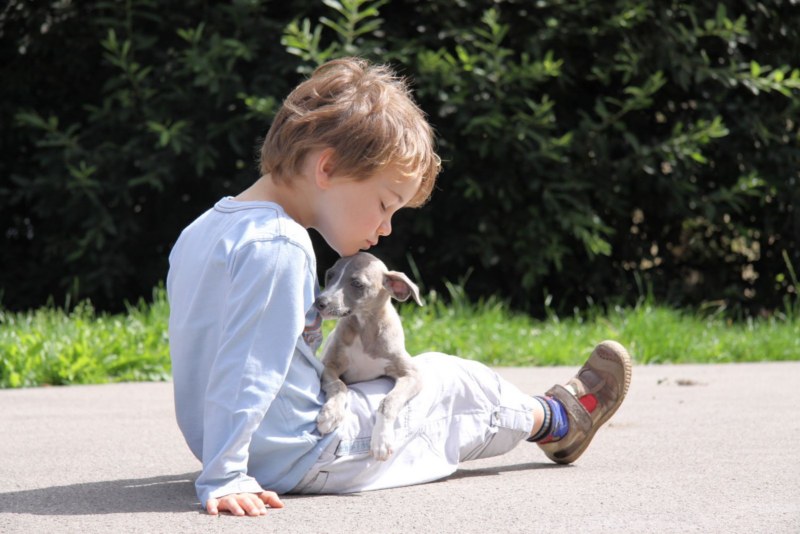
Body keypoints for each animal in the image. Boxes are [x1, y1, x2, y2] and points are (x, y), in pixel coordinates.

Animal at [313, 252, 423, 460]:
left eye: (357, 283)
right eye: (330, 275)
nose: (319, 302)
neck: (363, 328)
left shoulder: (412, 374)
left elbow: (389, 401)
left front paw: (381, 439)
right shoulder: (328, 366)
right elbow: (339, 385)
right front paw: (330, 414)